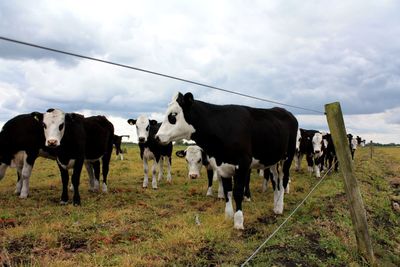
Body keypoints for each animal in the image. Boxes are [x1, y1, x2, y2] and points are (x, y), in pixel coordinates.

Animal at [155, 92, 298, 230]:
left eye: (173, 115)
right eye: (186, 160)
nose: (157, 137)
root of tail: (285, 111)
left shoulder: (243, 163)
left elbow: (238, 192)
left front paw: (238, 222)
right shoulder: (223, 167)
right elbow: (227, 192)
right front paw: (228, 216)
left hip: (288, 157)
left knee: (284, 180)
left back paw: (280, 207)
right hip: (273, 160)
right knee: (275, 181)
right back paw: (276, 205)